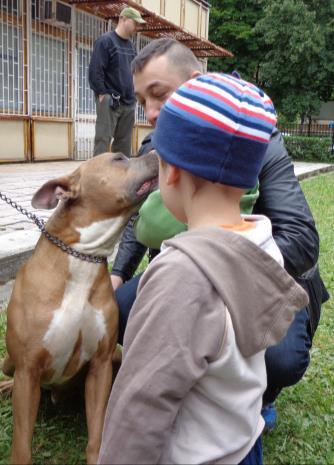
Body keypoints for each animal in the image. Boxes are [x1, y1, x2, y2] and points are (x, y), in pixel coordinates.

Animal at [1, 150, 158, 462]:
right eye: (119, 158)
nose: (158, 152)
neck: (83, 256)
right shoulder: (27, 368)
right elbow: (21, 446)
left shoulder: (101, 364)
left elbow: (97, 434)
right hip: (11, 363)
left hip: (116, 357)